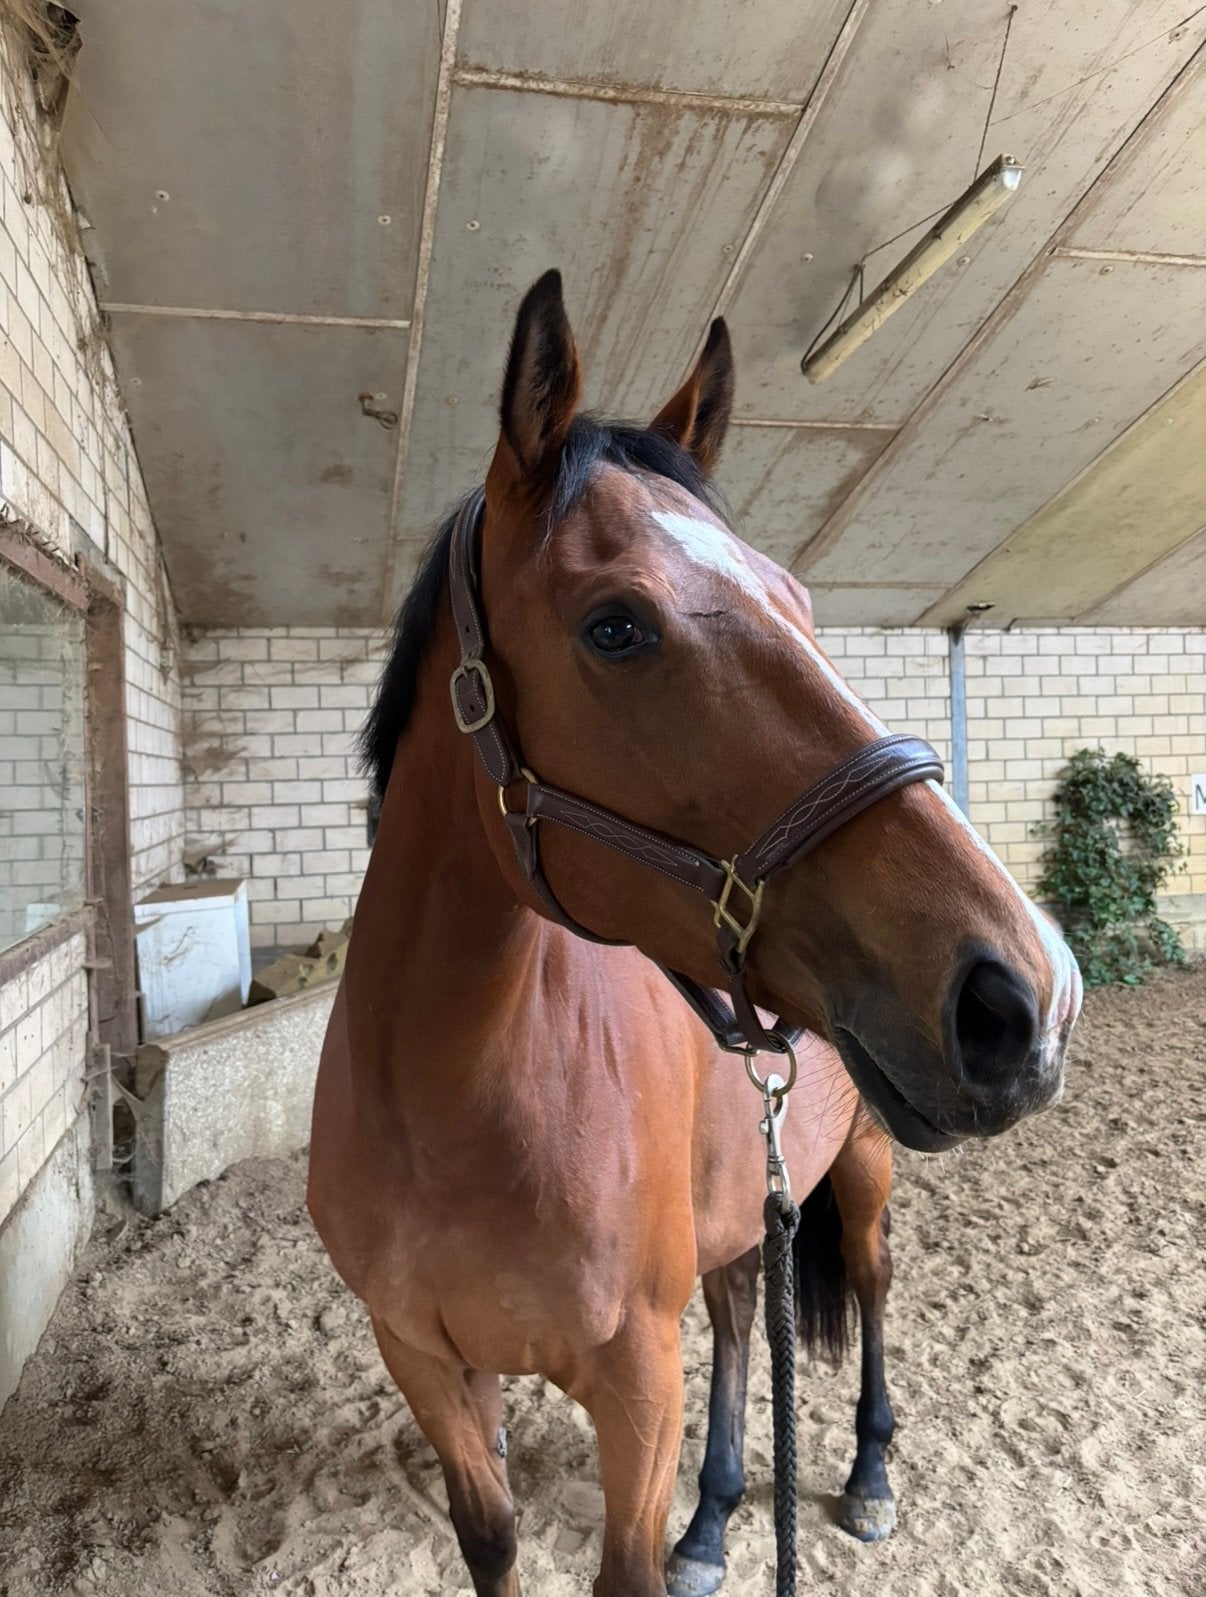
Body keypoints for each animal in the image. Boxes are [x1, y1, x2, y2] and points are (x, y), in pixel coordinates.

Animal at [308, 270, 1082, 1597]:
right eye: (617, 627)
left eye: (804, 604)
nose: (1023, 993)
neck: (447, 1107)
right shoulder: (429, 1366)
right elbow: (492, 1545)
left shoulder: (632, 1384)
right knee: (734, 1318)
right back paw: (717, 1517)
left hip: (863, 1165)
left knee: (870, 1281)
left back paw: (867, 1472)